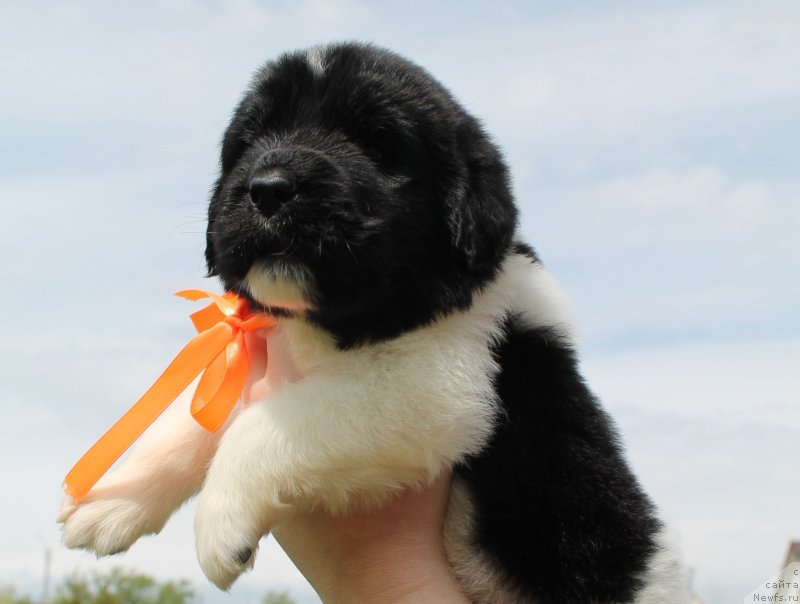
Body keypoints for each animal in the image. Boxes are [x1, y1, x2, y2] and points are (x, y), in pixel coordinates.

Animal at [61, 43, 688, 604]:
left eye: (378, 146)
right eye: (250, 141)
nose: (268, 189)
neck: (337, 325)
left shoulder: (437, 388)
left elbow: (262, 424)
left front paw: (221, 522)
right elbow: (193, 422)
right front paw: (113, 499)